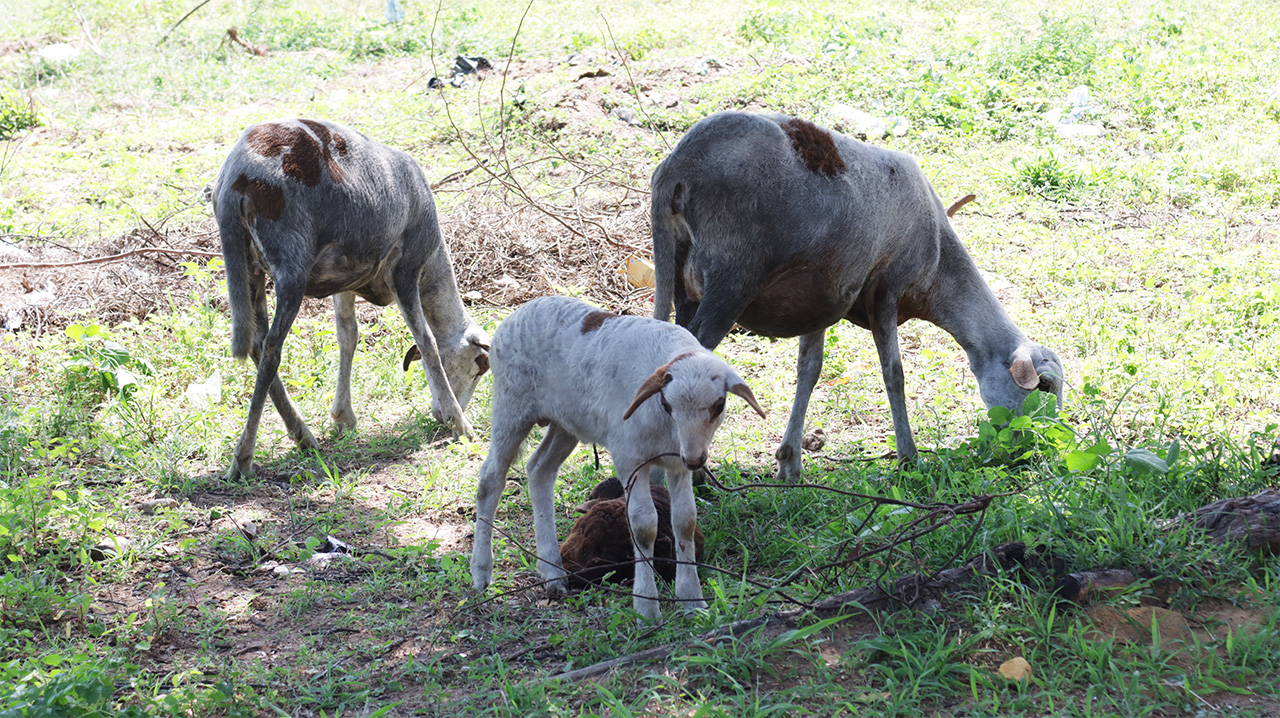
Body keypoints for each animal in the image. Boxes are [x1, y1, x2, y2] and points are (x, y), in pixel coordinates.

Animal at [209, 117, 488, 478]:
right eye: (480, 367)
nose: (439, 417)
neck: (433, 268)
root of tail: (236, 178)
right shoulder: (406, 270)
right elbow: (427, 342)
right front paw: (461, 423)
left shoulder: (343, 280)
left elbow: (348, 336)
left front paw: (343, 418)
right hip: (291, 263)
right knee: (271, 349)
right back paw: (244, 457)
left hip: (251, 267)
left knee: (257, 344)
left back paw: (303, 436)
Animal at [473, 294, 762, 619]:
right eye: (668, 404)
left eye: (718, 405)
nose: (696, 460)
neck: (664, 426)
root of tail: (517, 313)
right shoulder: (629, 457)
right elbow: (644, 525)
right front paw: (647, 607)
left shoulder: (677, 464)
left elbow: (685, 521)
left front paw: (692, 601)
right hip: (512, 404)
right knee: (490, 479)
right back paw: (482, 572)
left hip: (566, 421)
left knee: (539, 469)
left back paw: (553, 573)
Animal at [655, 111, 1064, 478]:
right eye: (1044, 385)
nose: (1039, 450)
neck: (938, 264)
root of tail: (676, 167)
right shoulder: (886, 289)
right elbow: (894, 374)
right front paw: (909, 459)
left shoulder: (816, 299)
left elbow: (809, 370)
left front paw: (790, 462)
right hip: (732, 275)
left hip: (681, 276)